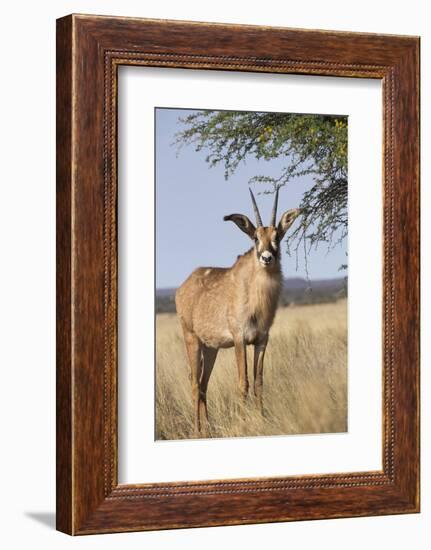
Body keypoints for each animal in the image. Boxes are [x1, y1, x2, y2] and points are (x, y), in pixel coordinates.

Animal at [175, 188, 300, 438]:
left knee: (203, 385)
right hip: (191, 339)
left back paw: (209, 429)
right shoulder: (240, 339)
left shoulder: (262, 340)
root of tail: (183, 287)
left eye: (277, 236)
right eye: (255, 238)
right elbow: (243, 383)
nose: (267, 258)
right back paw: (197, 431)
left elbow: (259, 382)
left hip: (210, 348)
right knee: (194, 384)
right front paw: (244, 423)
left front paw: (262, 419)